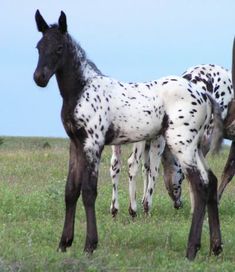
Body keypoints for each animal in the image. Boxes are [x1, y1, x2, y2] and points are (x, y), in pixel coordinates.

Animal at [32, 10, 222, 260]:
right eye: (39, 46)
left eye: (59, 48)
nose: (39, 78)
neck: (82, 89)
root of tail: (203, 93)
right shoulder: (75, 144)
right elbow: (70, 191)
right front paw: (64, 244)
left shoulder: (93, 144)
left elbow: (89, 192)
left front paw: (89, 245)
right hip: (196, 147)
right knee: (211, 182)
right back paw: (215, 247)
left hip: (182, 145)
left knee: (199, 186)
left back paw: (192, 249)